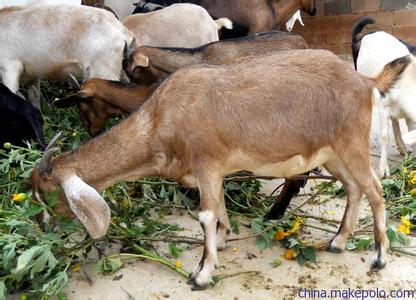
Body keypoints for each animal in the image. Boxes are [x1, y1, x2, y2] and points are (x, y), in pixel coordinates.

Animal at [30, 49, 402, 290]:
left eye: (44, 194)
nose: (44, 228)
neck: (160, 120)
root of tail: (365, 80)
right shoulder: (214, 171)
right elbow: (220, 209)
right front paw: (222, 242)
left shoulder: (206, 163)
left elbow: (206, 215)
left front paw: (201, 274)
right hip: (331, 155)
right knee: (354, 188)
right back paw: (338, 241)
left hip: (351, 143)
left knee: (374, 189)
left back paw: (380, 257)